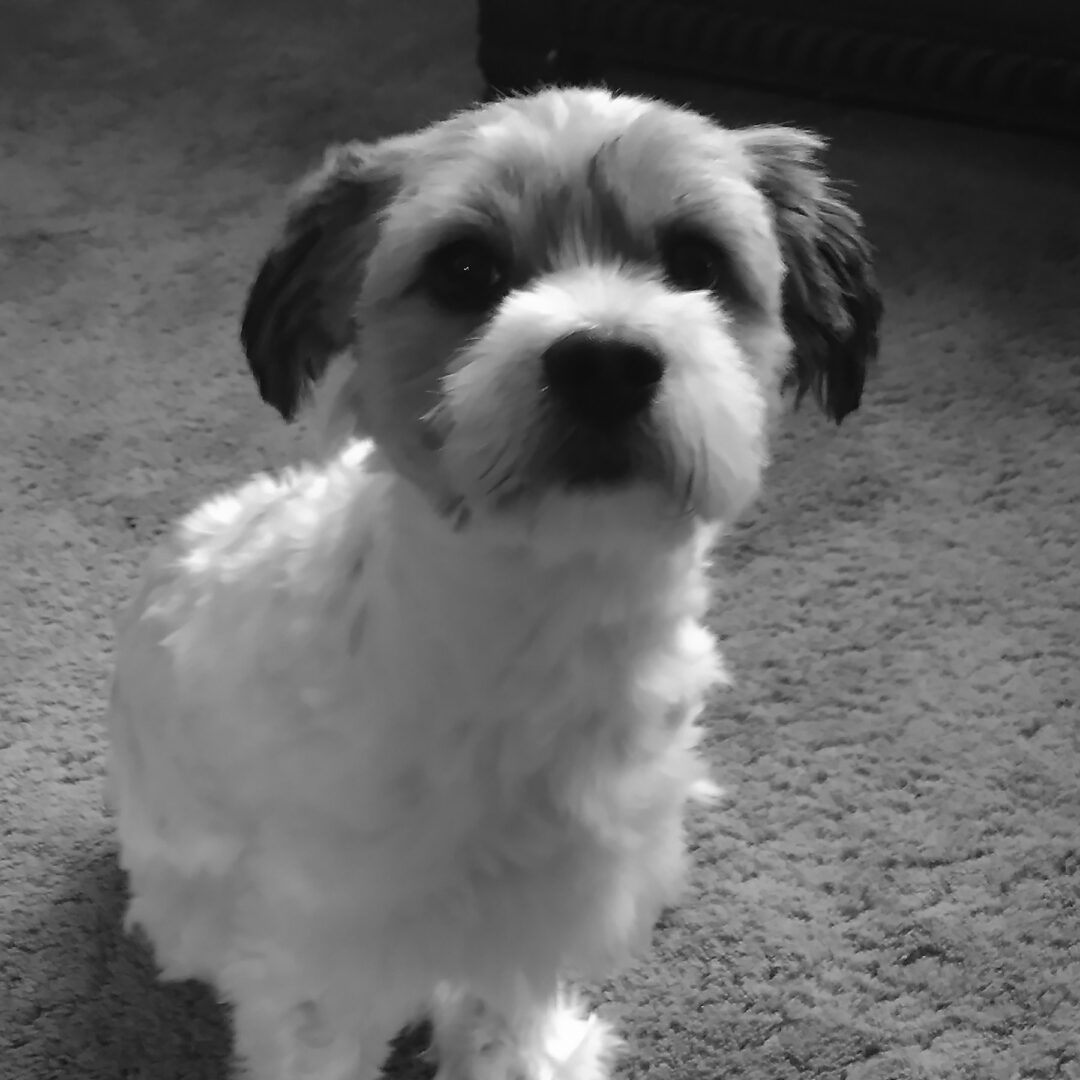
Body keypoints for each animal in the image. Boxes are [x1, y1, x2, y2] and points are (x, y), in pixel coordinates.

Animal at [105, 86, 881, 1080]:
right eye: (465, 268)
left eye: (696, 261)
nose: (604, 360)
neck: (541, 628)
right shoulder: (321, 957)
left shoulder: (538, 909)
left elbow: (504, 1001)